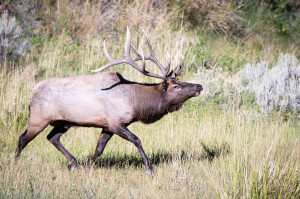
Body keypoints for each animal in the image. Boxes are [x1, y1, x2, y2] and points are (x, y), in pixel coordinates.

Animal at [15, 27, 203, 176]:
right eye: (176, 86)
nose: (199, 86)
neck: (136, 102)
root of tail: (31, 95)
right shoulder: (115, 122)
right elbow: (136, 140)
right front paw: (149, 168)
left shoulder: (107, 126)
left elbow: (99, 149)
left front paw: (88, 167)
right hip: (39, 118)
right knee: (23, 138)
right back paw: (15, 162)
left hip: (64, 122)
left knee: (52, 137)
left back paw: (74, 163)